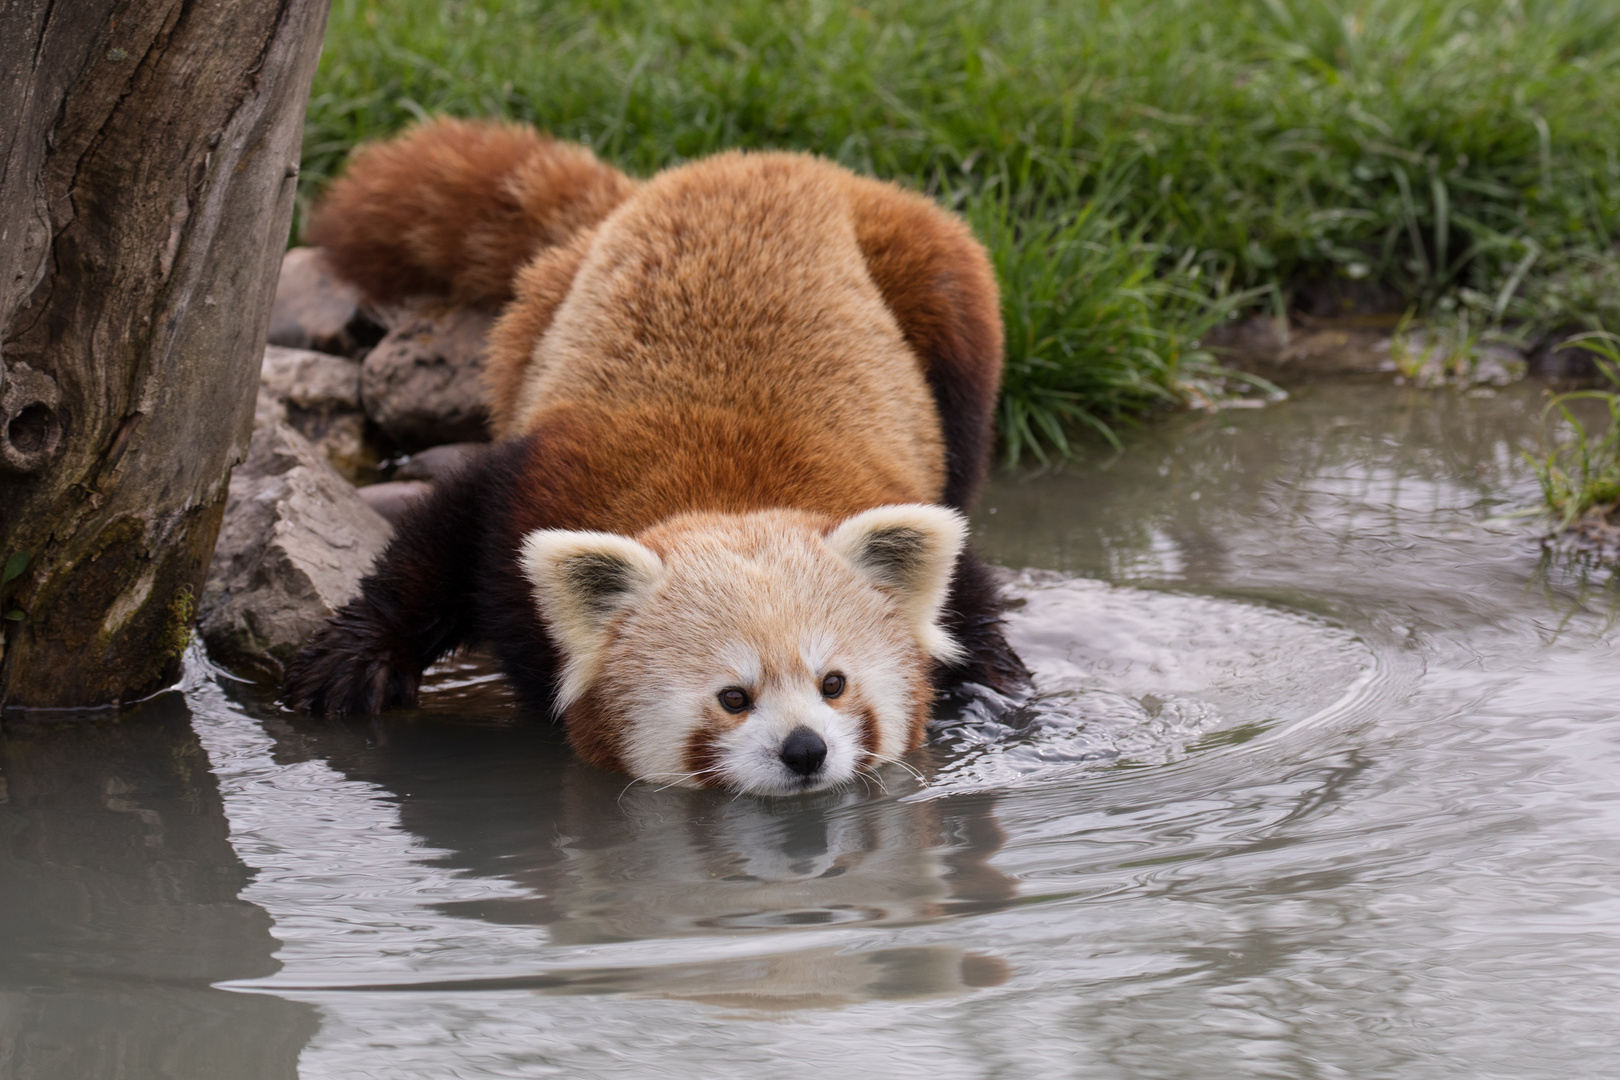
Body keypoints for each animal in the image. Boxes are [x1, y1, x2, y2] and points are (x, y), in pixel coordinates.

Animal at [285, 118, 1023, 799]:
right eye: (733, 697)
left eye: (834, 683)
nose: (804, 748)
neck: (732, 494)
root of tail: (760, 159)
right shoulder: (539, 482)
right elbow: (443, 539)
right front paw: (351, 665)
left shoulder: (889, 485)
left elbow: (967, 595)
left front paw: (993, 689)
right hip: (539, 315)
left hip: (944, 310)